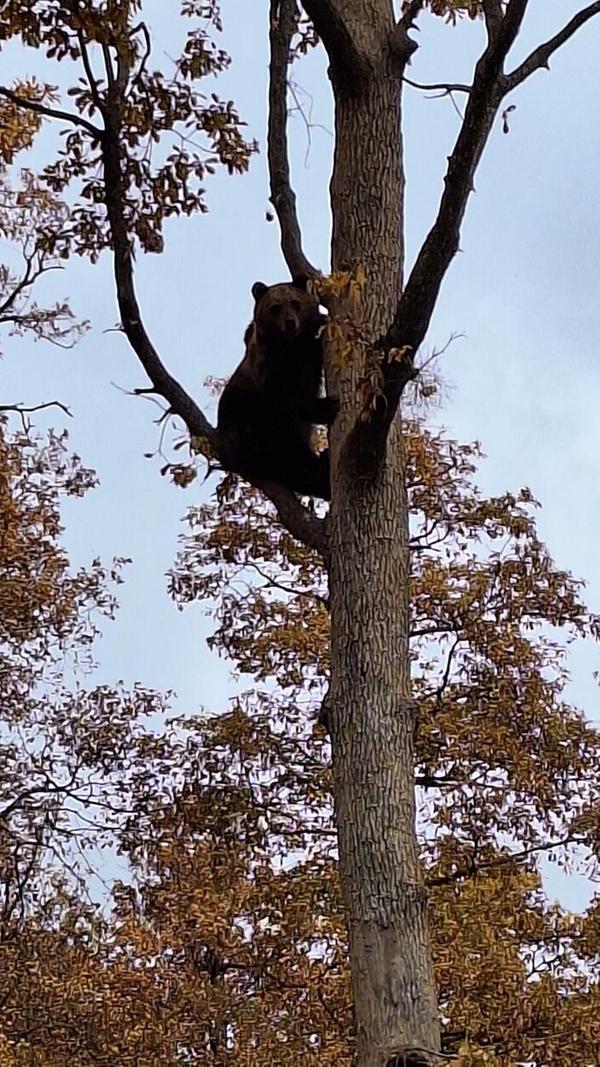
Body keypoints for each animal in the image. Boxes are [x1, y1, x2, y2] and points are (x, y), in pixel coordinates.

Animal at [217, 274, 338, 500]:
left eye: (295, 303)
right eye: (275, 307)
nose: (290, 322)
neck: (290, 345)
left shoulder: (302, 355)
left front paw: (322, 322)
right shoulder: (269, 369)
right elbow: (286, 398)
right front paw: (328, 406)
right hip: (247, 423)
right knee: (290, 458)